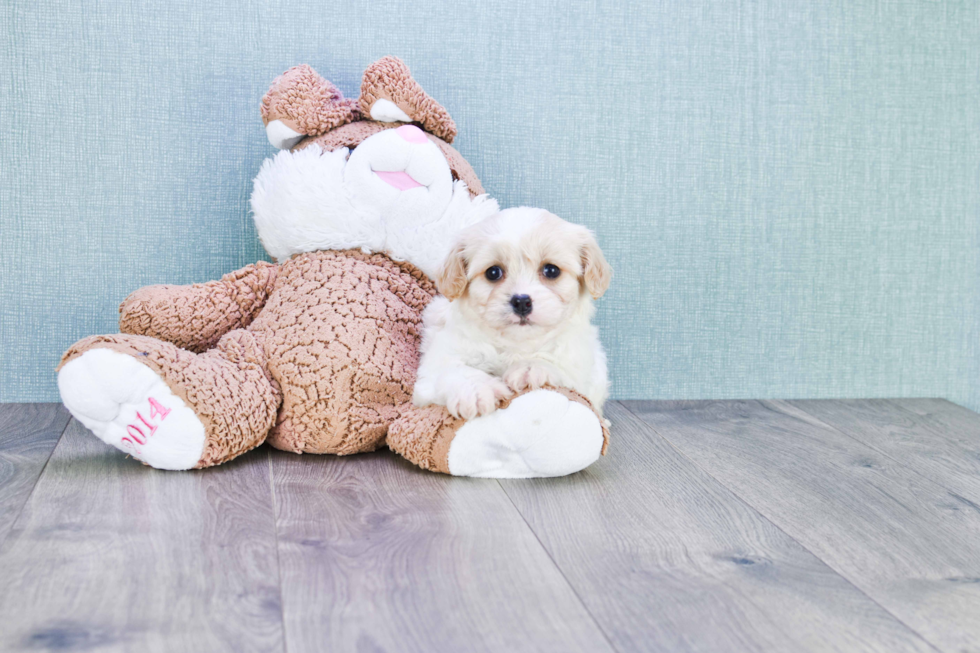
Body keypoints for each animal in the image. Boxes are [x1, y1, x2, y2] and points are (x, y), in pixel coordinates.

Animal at [414, 206, 612, 420]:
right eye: (493, 272)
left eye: (551, 270)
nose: (522, 302)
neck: (515, 343)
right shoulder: (441, 357)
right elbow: (453, 369)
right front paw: (476, 390)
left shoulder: (576, 364)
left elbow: (555, 363)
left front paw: (530, 367)